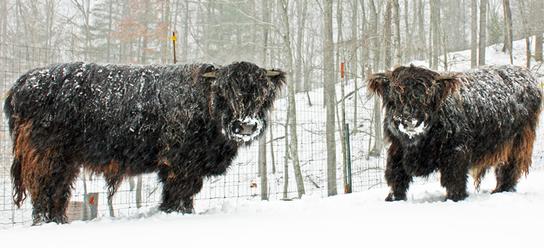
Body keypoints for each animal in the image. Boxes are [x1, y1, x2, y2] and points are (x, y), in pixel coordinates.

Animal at [5, 61, 284, 223]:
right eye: (224, 93)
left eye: (263, 95)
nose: (246, 125)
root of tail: (21, 84)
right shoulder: (181, 163)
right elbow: (179, 192)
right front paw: (177, 213)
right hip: (46, 156)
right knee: (45, 190)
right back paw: (47, 221)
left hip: (65, 161)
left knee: (58, 191)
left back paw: (59, 221)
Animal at [368, 64, 540, 202]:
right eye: (395, 97)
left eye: (427, 97)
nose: (409, 118)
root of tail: (528, 75)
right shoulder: (397, 149)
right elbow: (396, 175)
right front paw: (393, 198)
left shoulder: (456, 151)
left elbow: (453, 177)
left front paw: (454, 198)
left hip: (518, 141)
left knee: (510, 167)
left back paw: (501, 190)